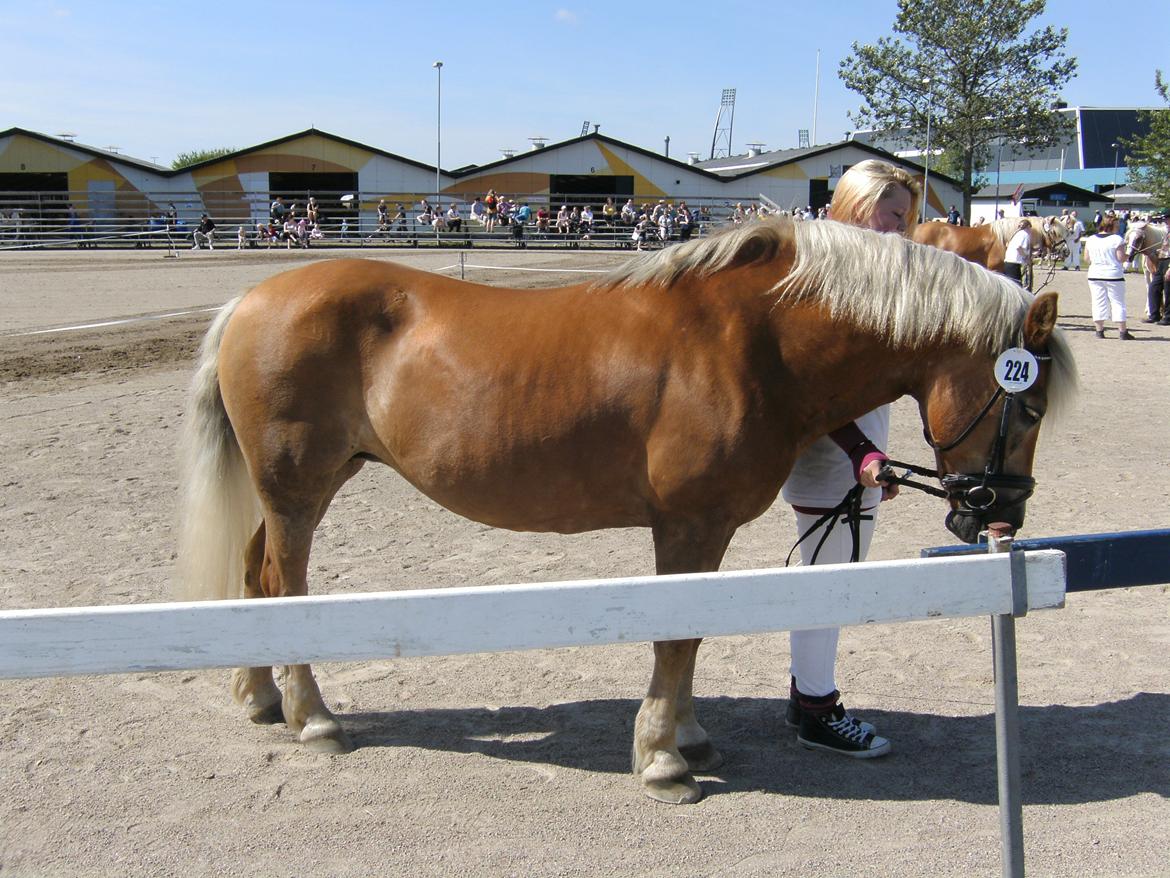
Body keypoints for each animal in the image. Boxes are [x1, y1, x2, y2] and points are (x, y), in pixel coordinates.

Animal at [177, 218, 1071, 805]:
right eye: (1026, 408)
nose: (997, 518)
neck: (753, 339)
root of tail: (252, 299)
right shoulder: (688, 524)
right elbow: (675, 637)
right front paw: (664, 760)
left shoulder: (708, 530)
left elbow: (694, 636)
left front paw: (686, 734)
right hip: (299, 489)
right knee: (284, 585)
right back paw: (314, 718)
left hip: (297, 489)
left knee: (255, 576)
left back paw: (260, 698)